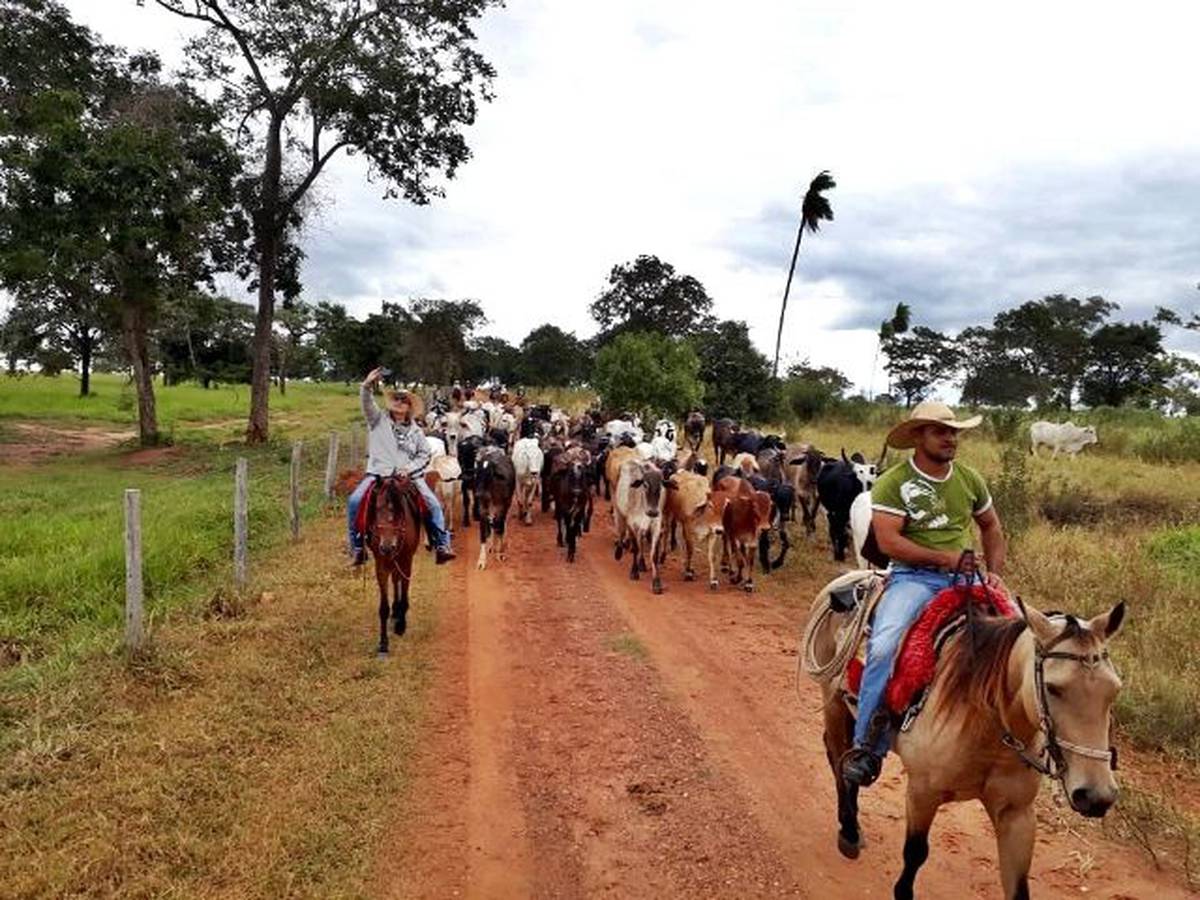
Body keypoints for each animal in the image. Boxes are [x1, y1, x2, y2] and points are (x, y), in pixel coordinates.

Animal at [362, 475, 424, 657]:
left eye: (399, 512)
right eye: (376, 509)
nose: (387, 547)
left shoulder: (406, 561)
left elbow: (404, 592)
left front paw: (401, 625)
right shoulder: (381, 565)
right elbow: (383, 607)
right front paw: (383, 644)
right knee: (395, 580)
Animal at [806, 580, 1123, 897]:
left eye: (1115, 690)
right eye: (1053, 688)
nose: (1096, 797)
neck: (986, 724)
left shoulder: (1016, 814)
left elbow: (1018, 886)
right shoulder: (922, 794)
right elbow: (915, 854)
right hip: (834, 703)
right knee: (837, 757)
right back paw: (849, 831)